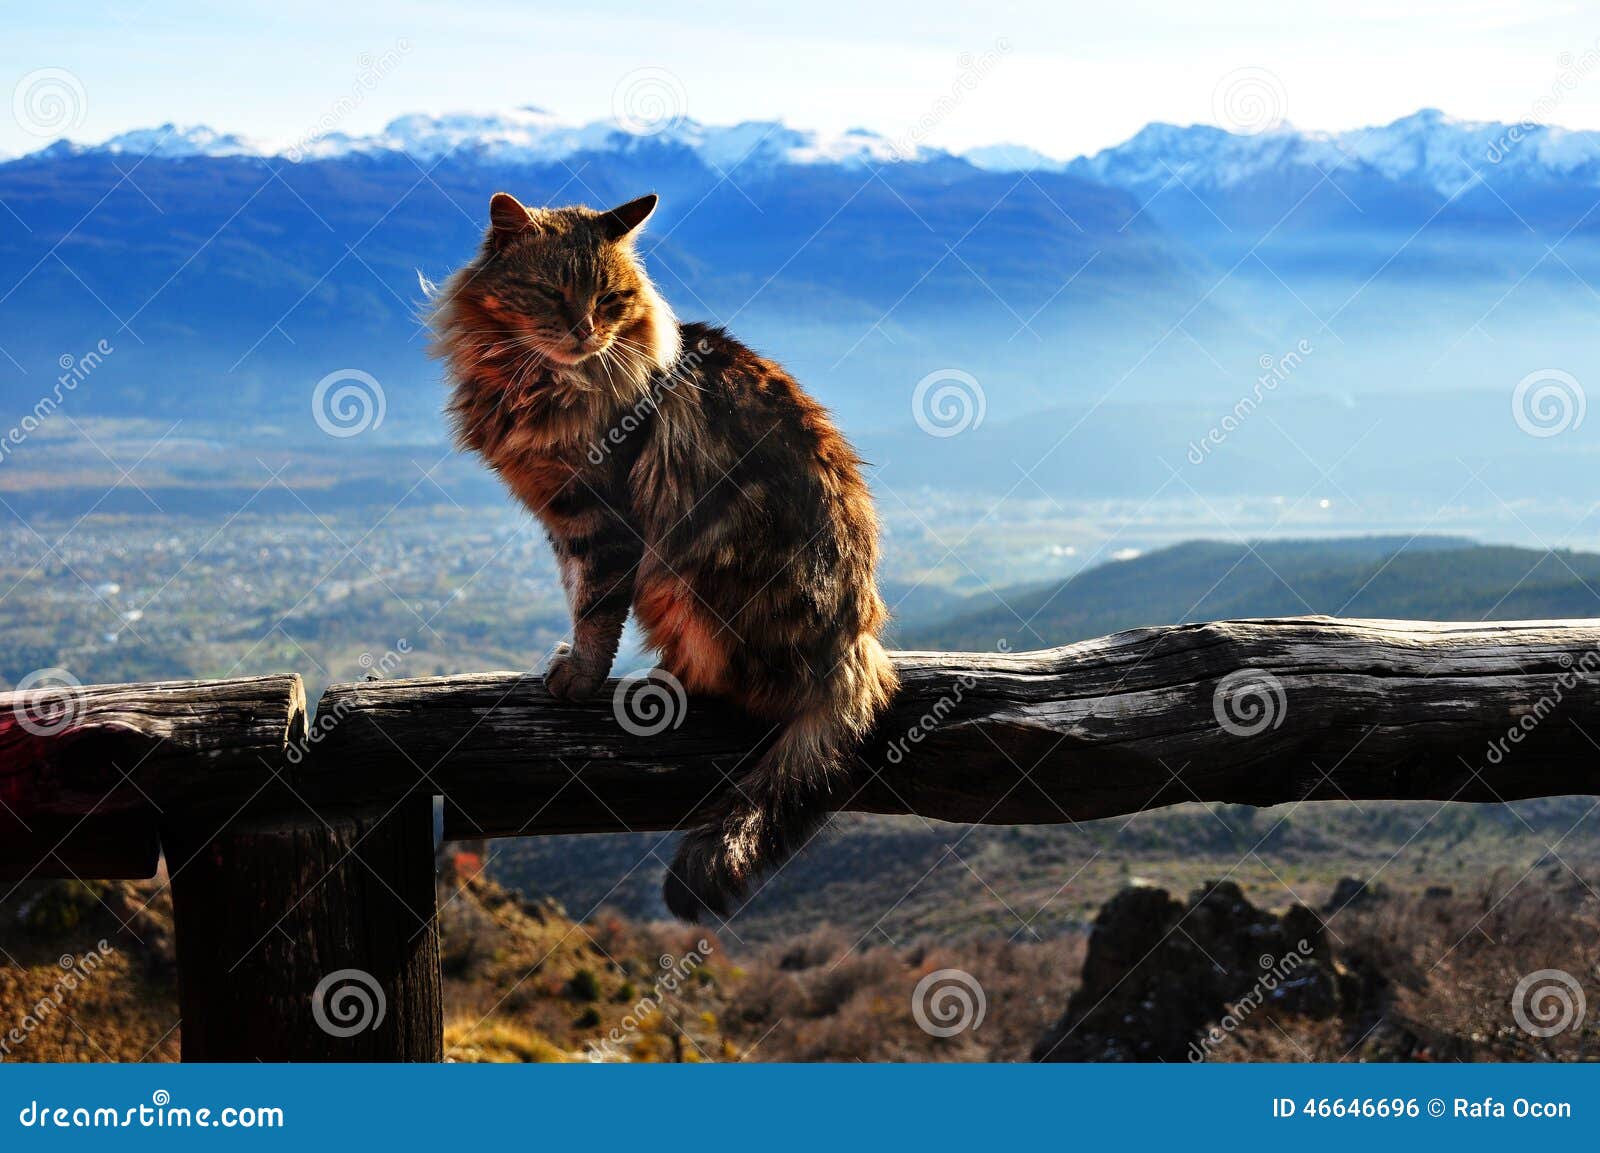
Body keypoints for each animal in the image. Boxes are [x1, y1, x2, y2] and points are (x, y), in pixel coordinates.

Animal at [425, 193, 902, 921]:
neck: (533, 378)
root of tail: (854, 647)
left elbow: (594, 609)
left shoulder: (599, 517)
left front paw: (581, 676)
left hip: (692, 581)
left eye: (611, 298)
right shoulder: (562, 519)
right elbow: (576, 595)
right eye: (554, 293)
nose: (588, 332)